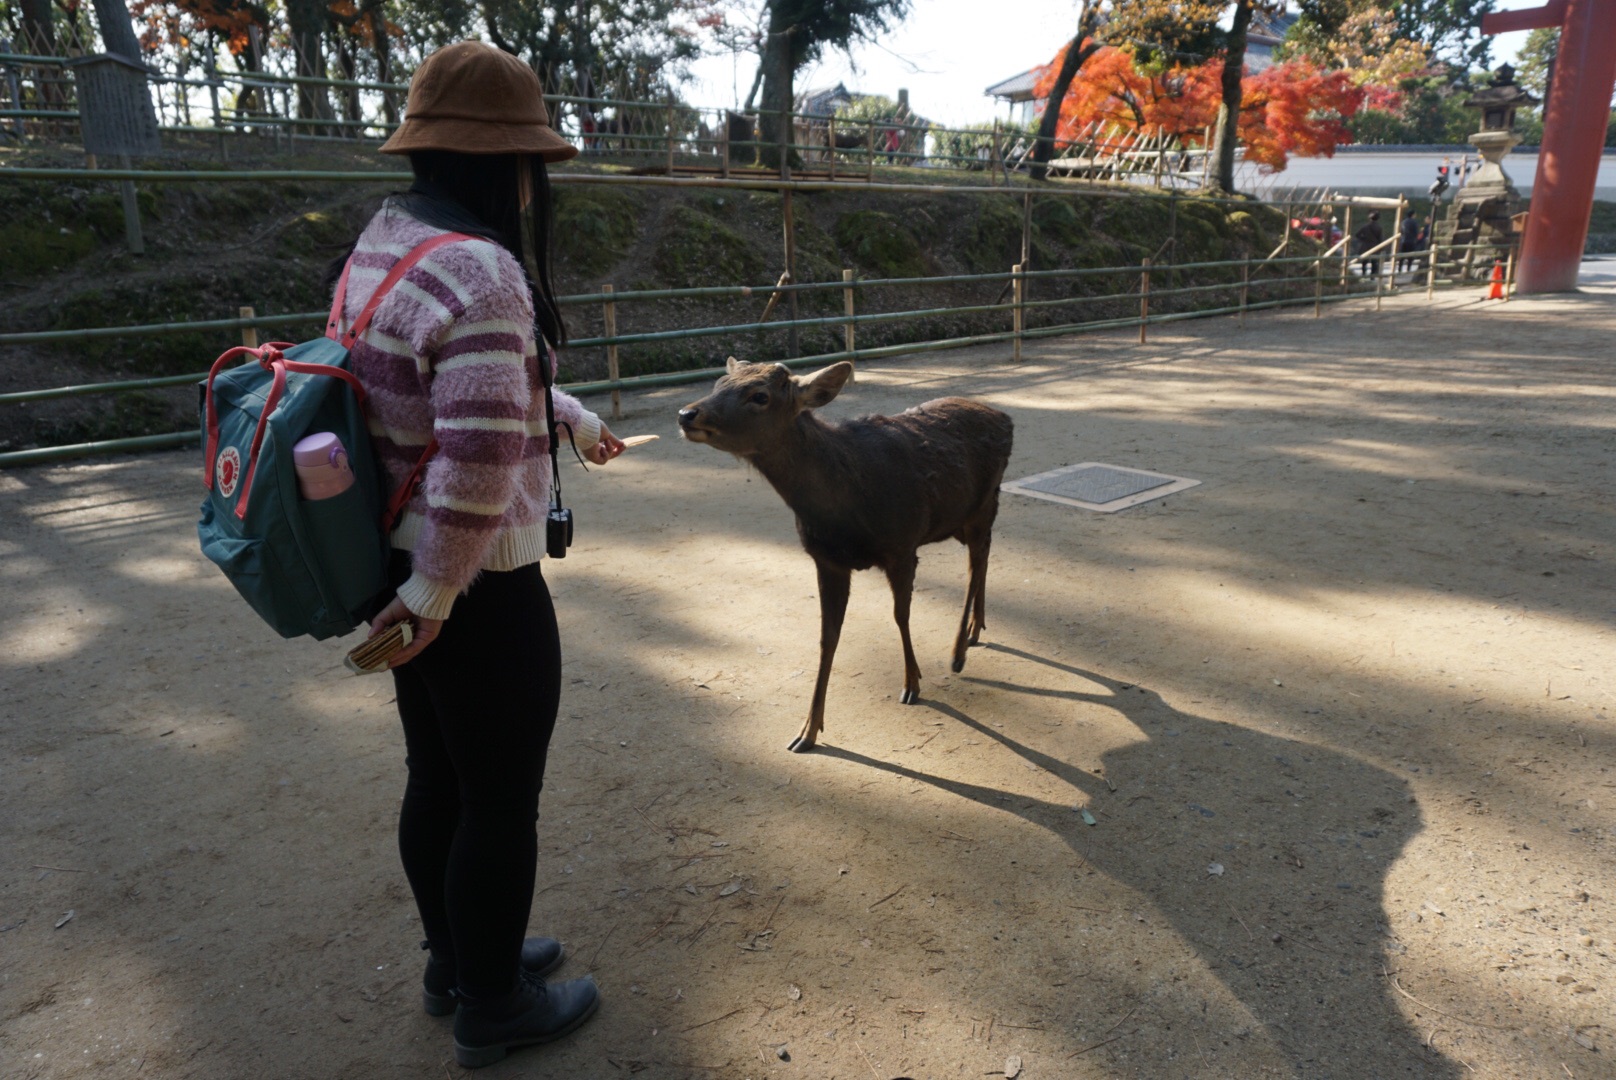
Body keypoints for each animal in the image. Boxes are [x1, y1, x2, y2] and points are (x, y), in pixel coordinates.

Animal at [678, 360, 1008, 750]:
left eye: (760, 396)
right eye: (719, 382)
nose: (687, 414)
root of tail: (1005, 417)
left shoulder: (902, 545)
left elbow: (900, 616)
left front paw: (912, 683)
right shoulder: (827, 561)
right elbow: (827, 637)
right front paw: (807, 730)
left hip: (981, 504)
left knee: (975, 564)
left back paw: (958, 654)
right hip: (966, 517)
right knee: (984, 556)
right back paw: (974, 630)